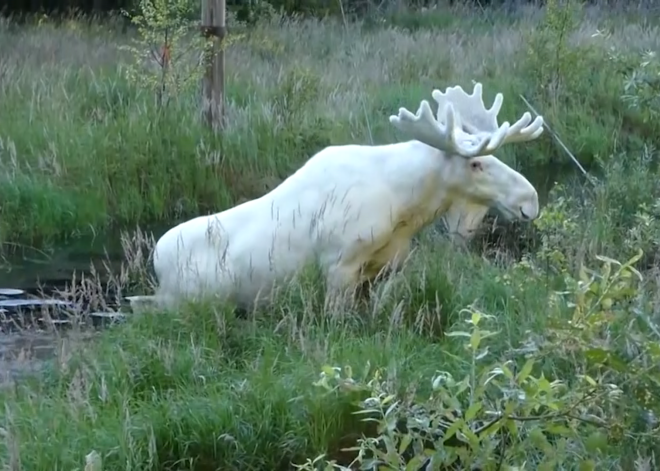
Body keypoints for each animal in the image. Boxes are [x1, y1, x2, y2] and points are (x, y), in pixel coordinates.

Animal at [142, 82, 544, 310]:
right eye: (476, 163)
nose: (530, 200)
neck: (407, 206)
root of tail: (155, 259)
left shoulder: (386, 266)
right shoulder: (338, 265)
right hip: (183, 302)